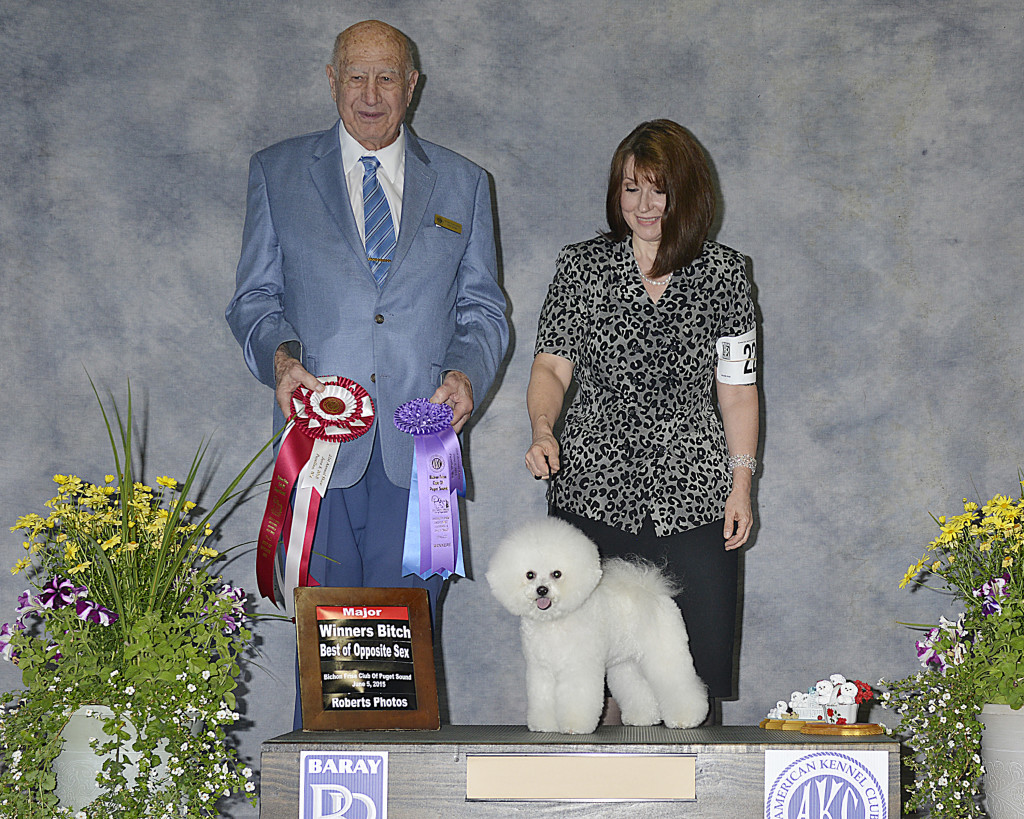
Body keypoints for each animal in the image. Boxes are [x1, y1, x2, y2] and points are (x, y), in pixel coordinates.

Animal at [485, 518, 708, 737]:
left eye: (557, 574)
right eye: (530, 575)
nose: (542, 590)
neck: (555, 621)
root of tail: (651, 591)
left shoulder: (578, 666)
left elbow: (577, 697)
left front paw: (574, 726)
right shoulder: (541, 669)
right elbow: (543, 698)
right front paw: (544, 725)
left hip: (665, 652)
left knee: (679, 683)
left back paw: (686, 719)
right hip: (627, 663)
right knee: (638, 689)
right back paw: (642, 718)